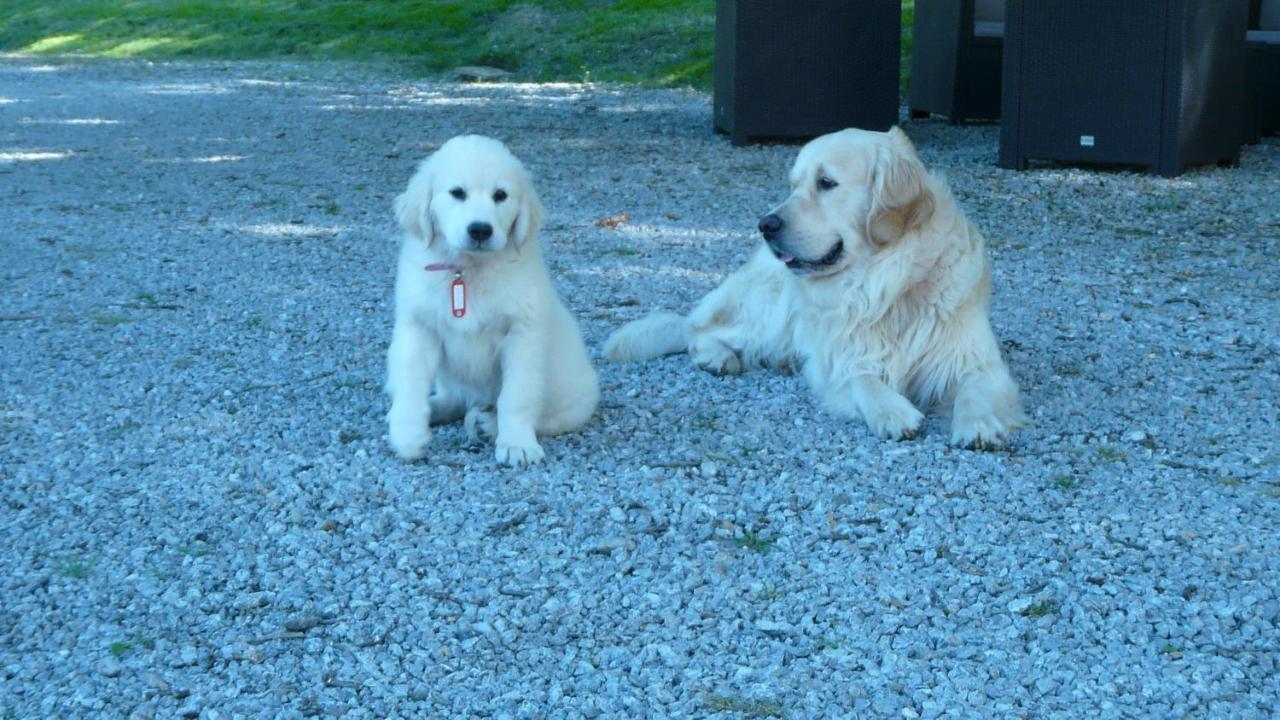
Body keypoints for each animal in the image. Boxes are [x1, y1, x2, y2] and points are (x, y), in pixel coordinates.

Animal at [384, 134, 599, 466]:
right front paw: (407, 434)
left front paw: (516, 444)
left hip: (574, 400)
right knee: (456, 399)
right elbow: (410, 383)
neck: (468, 270)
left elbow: (517, 396)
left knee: (542, 416)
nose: (480, 230)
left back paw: (489, 424)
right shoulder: (418, 328)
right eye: (457, 193)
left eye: (501, 195)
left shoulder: (522, 335)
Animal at [606, 126, 1029, 445]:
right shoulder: (841, 360)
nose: (765, 225)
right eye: (793, 185)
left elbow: (975, 390)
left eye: (826, 183)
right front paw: (893, 410)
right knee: (696, 328)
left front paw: (978, 424)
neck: (889, 283)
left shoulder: (975, 359)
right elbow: (864, 380)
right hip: (769, 312)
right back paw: (716, 357)